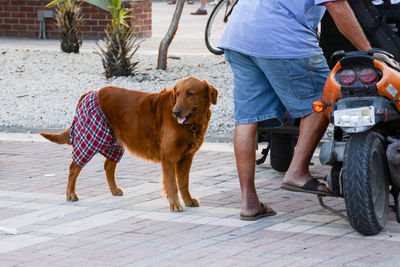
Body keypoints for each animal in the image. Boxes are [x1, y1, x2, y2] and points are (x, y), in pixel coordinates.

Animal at [40, 77, 219, 211]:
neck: (191, 125)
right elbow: (172, 184)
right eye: (178, 94)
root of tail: (90, 93)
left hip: (115, 144)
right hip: (90, 140)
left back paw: (114, 190)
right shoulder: (169, 158)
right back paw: (70, 194)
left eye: (190, 93)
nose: (176, 112)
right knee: (74, 168)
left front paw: (188, 200)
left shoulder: (186, 157)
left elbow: (183, 182)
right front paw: (175, 204)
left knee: (108, 166)